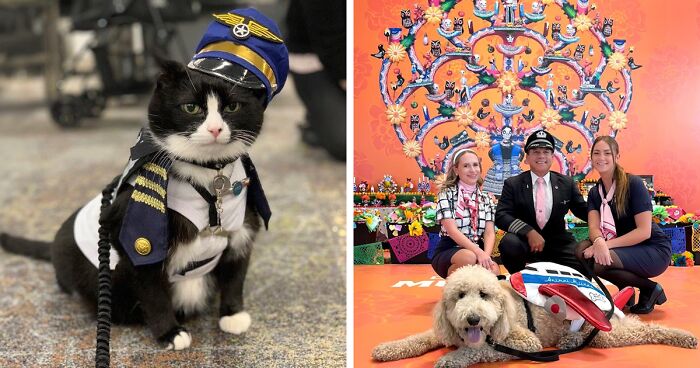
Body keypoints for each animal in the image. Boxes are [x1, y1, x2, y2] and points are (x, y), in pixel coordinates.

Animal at [0, 59, 268, 350]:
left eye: (232, 107)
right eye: (191, 107)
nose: (215, 129)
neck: (209, 179)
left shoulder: (242, 227)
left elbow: (235, 275)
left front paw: (233, 315)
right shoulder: (134, 235)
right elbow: (152, 289)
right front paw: (170, 332)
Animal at [372, 266, 696, 366]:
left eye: (484, 295)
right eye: (459, 296)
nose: (473, 319)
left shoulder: (524, 342)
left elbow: (477, 351)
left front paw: (451, 359)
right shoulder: (445, 330)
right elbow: (418, 338)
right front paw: (388, 349)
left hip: (606, 331)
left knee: (646, 330)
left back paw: (684, 336)